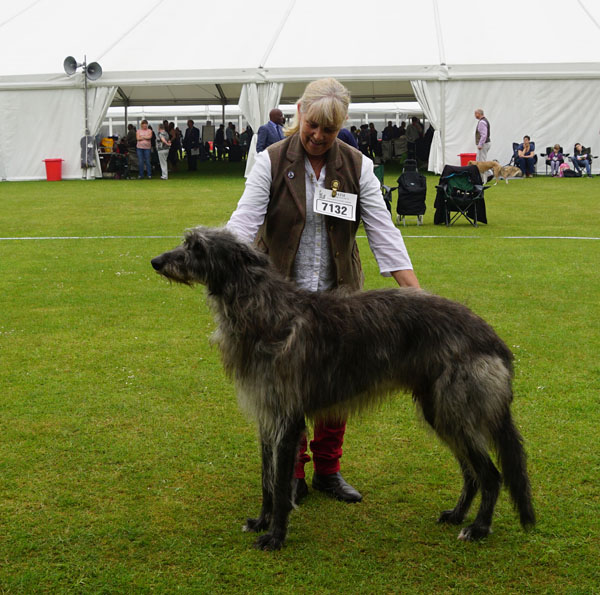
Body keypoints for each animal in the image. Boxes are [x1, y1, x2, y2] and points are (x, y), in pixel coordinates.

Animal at [150, 226, 536, 552]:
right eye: (187, 242)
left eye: (197, 248)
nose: (156, 261)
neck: (263, 311)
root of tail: (493, 339)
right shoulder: (267, 416)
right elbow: (267, 480)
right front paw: (261, 522)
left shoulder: (287, 418)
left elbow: (280, 486)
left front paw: (276, 536)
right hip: (441, 411)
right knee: (471, 473)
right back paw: (457, 515)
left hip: (455, 409)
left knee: (490, 474)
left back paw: (478, 528)